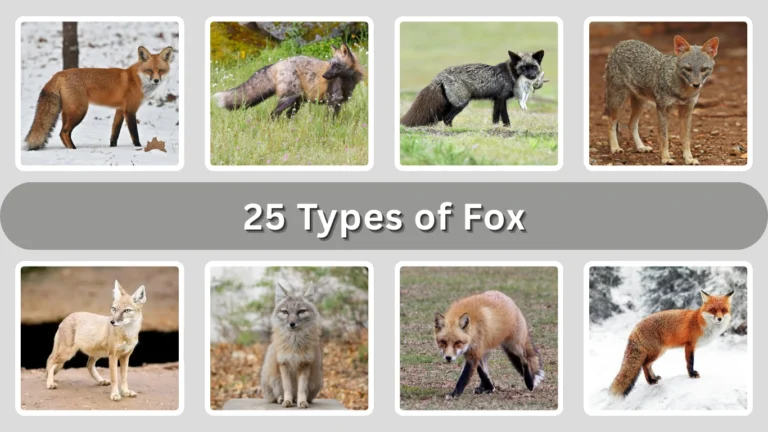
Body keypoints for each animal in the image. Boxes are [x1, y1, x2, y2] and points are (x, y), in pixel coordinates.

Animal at [25, 46, 174, 150]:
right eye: (149, 70)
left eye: (161, 70)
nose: (156, 80)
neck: (137, 79)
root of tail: (59, 73)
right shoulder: (130, 110)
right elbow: (134, 134)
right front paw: (138, 147)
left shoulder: (120, 110)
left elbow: (114, 134)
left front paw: (113, 148)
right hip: (79, 111)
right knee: (64, 132)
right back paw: (73, 149)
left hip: (68, 112)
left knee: (62, 133)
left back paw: (69, 148)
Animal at [214, 43, 365, 119]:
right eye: (330, 64)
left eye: (336, 65)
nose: (324, 76)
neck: (347, 81)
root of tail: (277, 64)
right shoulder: (332, 101)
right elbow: (329, 120)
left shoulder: (338, 103)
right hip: (289, 98)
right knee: (274, 114)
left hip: (296, 102)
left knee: (287, 115)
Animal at [400, 50, 545, 127]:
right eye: (523, 67)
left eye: (534, 67)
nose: (532, 76)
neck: (510, 74)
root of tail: (439, 76)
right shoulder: (499, 99)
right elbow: (496, 117)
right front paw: (495, 128)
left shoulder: (502, 100)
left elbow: (506, 118)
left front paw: (507, 128)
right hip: (461, 103)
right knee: (446, 119)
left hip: (450, 104)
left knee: (443, 119)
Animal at [604, 35, 719, 165]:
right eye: (687, 69)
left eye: (703, 69)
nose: (696, 84)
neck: (683, 92)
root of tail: (621, 43)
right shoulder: (662, 109)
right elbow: (664, 137)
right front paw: (666, 158)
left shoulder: (686, 112)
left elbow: (686, 139)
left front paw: (689, 158)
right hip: (618, 101)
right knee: (611, 122)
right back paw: (615, 147)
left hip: (641, 103)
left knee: (631, 124)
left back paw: (640, 147)